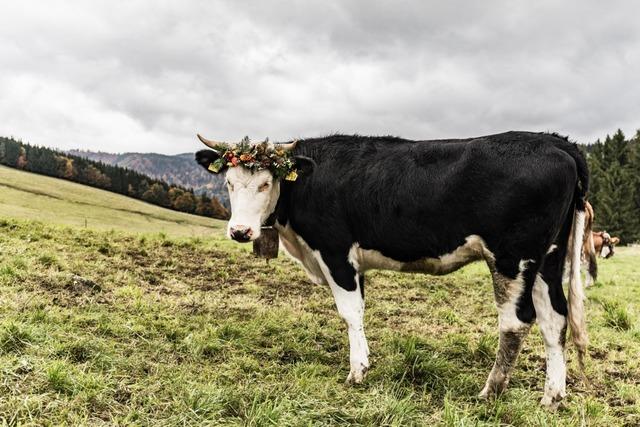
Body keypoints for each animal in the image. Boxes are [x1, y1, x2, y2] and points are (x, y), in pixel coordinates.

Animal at [195, 131, 589, 409]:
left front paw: (357, 371)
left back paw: (490, 391)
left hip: (513, 257)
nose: (240, 231)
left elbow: (350, 312)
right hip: (548, 260)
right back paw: (552, 396)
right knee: (554, 319)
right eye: (229, 182)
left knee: (516, 321)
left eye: (266, 183)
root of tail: (555, 141)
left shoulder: (335, 252)